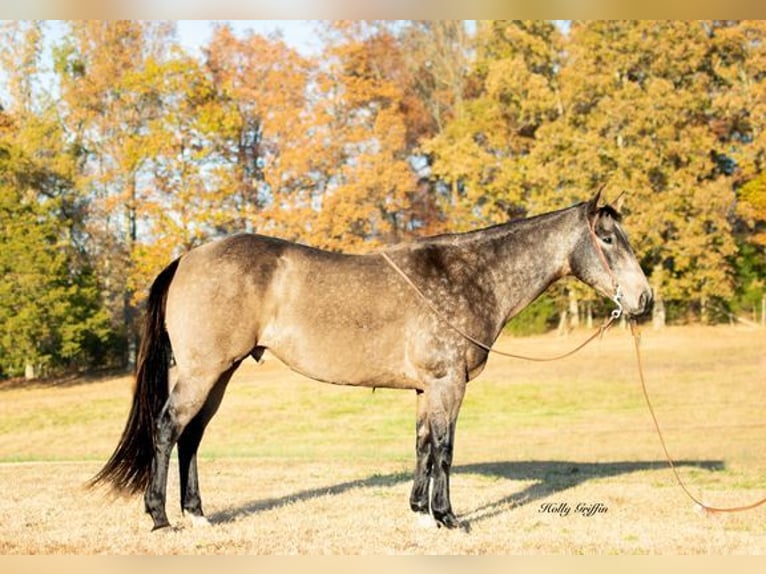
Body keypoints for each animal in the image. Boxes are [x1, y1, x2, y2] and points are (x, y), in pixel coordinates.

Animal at [90, 191, 656, 532]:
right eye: (608, 239)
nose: (644, 299)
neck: (469, 274)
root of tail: (187, 257)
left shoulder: (426, 389)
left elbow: (423, 446)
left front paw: (419, 513)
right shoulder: (448, 384)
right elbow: (445, 449)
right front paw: (448, 518)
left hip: (220, 374)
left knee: (191, 438)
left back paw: (198, 514)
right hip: (203, 372)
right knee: (168, 429)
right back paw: (161, 517)